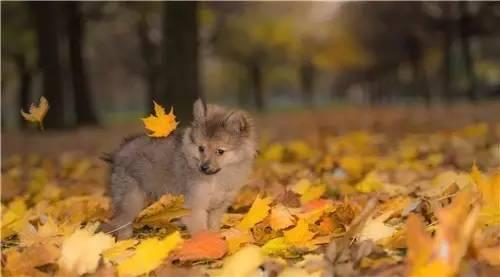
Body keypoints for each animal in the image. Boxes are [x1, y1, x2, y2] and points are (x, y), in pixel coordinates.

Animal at [103, 99, 256, 237]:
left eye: (220, 151)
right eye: (201, 148)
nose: (204, 167)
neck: (217, 178)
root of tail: (118, 153)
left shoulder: (218, 207)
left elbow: (213, 227)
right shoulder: (195, 206)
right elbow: (201, 231)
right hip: (131, 200)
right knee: (122, 222)